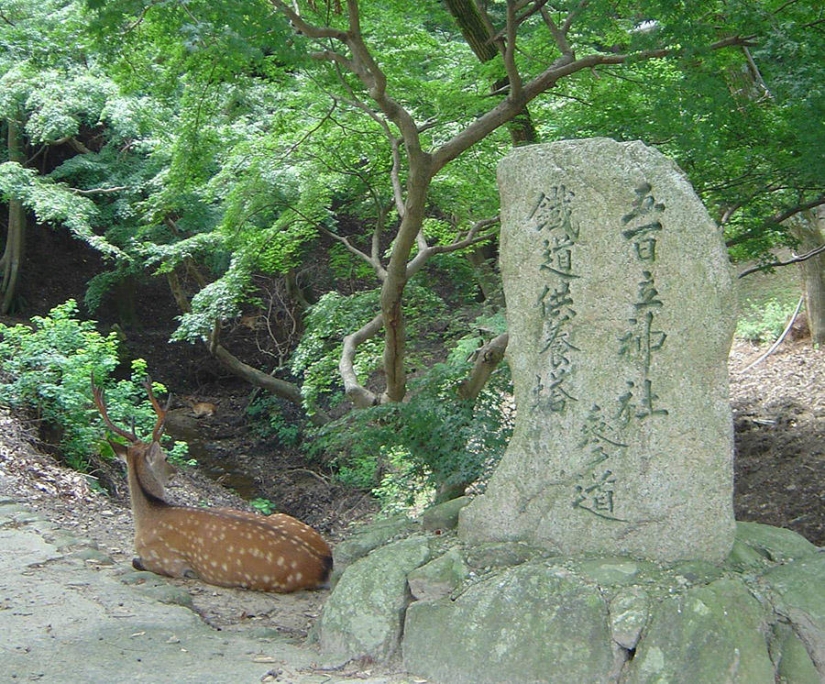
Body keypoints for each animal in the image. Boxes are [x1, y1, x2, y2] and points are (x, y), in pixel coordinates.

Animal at [91, 376, 332, 592]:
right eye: (166, 458)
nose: (174, 471)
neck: (150, 516)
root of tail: (324, 564)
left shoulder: (167, 561)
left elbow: (136, 561)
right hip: (283, 517)